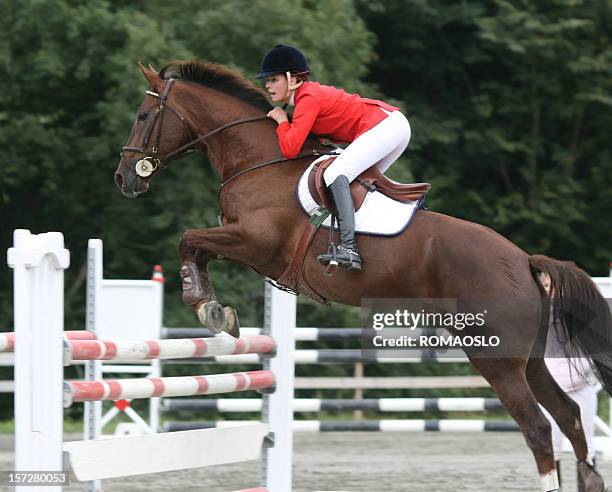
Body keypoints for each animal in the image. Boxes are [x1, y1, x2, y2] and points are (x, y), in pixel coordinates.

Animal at [116, 59, 612, 490]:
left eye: (142, 115)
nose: (124, 179)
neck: (260, 161)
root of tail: (524, 261)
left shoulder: (254, 242)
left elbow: (189, 240)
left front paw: (205, 304)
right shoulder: (244, 244)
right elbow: (196, 245)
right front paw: (213, 306)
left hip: (496, 358)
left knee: (538, 428)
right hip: (530, 359)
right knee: (568, 415)